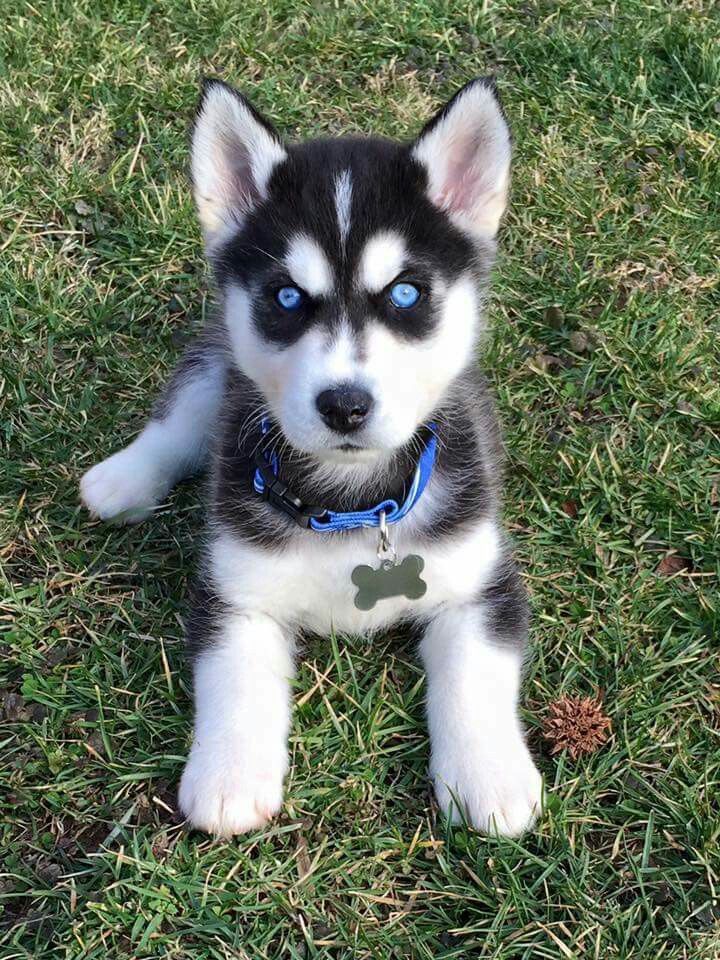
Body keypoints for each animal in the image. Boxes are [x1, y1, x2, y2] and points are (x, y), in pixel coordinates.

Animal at [80, 79, 540, 836]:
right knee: (182, 415)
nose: (344, 405)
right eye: (287, 296)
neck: (351, 501)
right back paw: (123, 479)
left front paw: (490, 776)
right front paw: (230, 776)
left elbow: (475, 674)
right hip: (219, 362)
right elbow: (233, 678)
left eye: (406, 292)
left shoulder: (478, 580)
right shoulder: (236, 589)